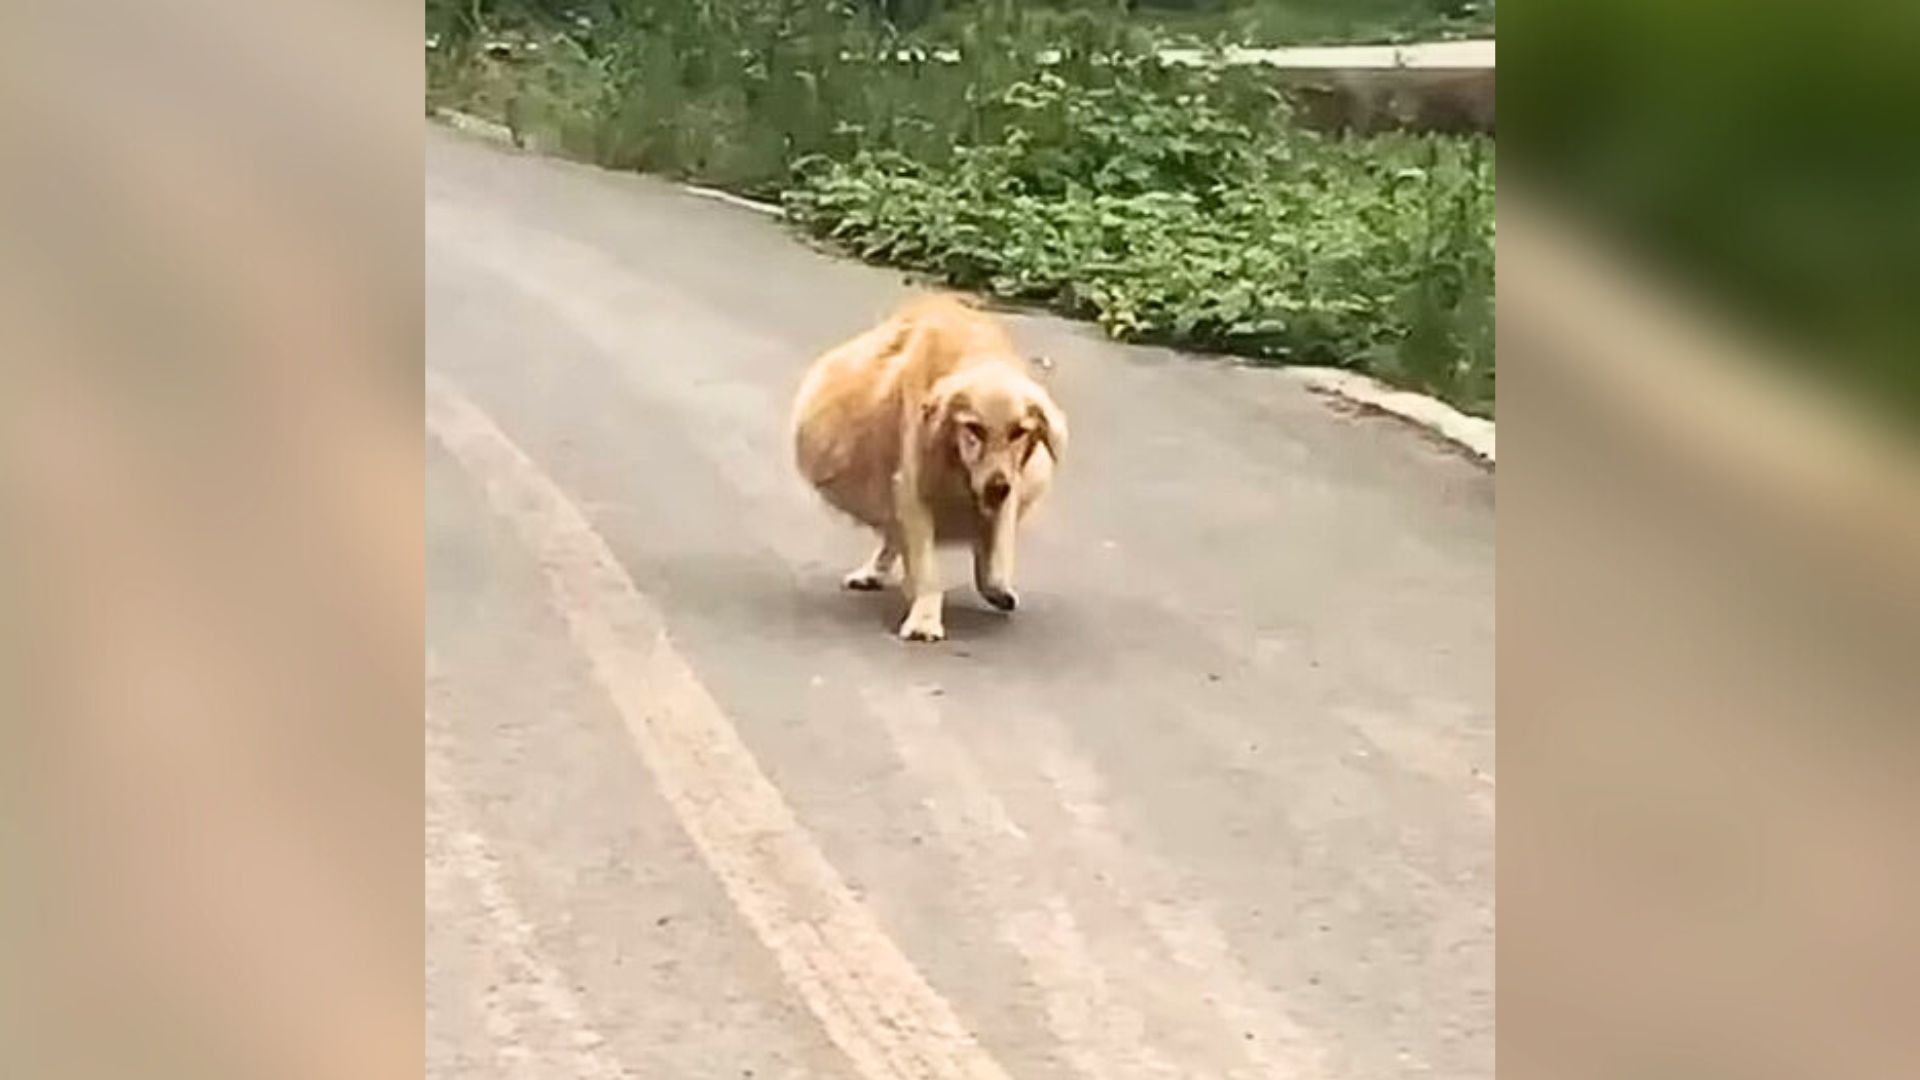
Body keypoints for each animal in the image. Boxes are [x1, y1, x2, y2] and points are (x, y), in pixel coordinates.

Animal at [791, 292, 1067, 638]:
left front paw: (995, 585)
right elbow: (924, 562)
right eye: (974, 428)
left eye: (1019, 431)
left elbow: (996, 544)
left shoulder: (1009, 484)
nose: (997, 487)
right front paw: (924, 619)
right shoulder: (912, 486)